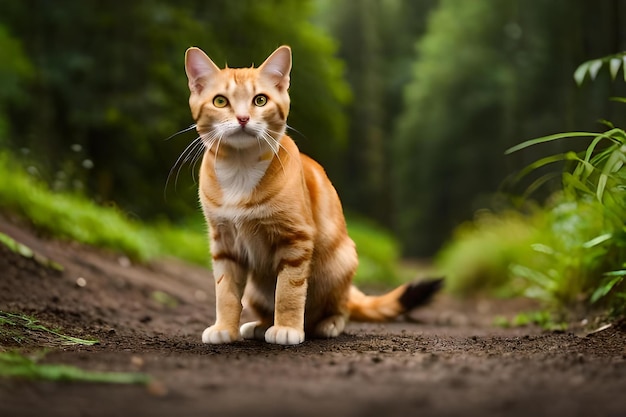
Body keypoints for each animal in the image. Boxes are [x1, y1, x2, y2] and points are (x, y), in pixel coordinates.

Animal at [183, 45, 442, 344]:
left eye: (260, 100)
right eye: (220, 101)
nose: (243, 118)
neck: (240, 169)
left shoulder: (296, 238)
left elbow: (288, 291)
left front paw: (287, 328)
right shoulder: (224, 243)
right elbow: (225, 291)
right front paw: (225, 328)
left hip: (340, 264)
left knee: (340, 308)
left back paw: (326, 324)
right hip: (256, 290)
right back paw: (259, 325)